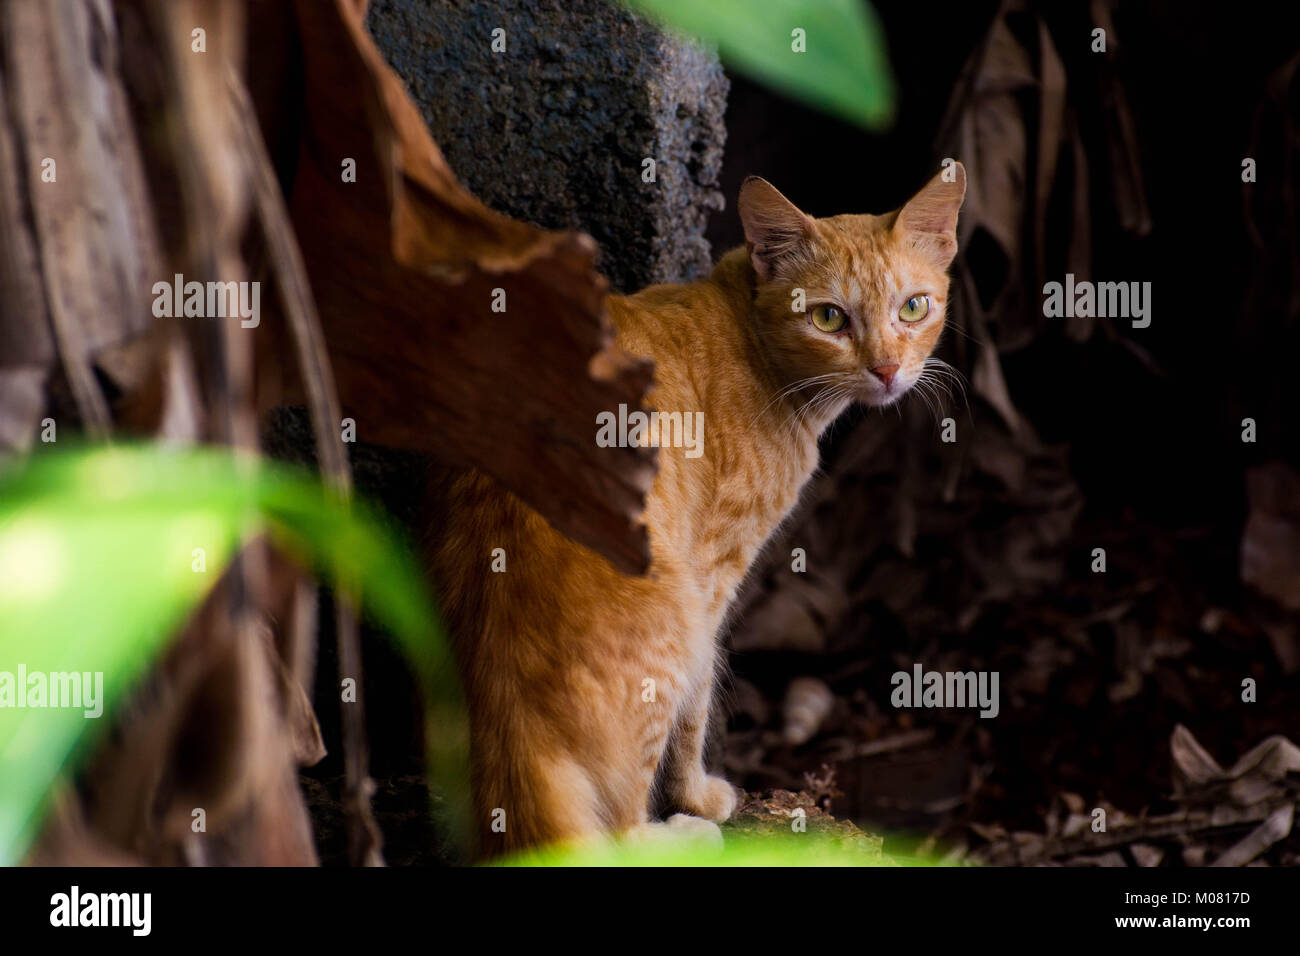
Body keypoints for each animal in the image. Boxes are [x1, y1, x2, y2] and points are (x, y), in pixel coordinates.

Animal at [431, 160, 972, 858]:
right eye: (828, 318)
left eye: (913, 307)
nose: (886, 370)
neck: (753, 340)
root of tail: (510, 712)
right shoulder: (713, 574)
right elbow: (699, 704)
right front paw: (696, 794)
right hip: (673, 624)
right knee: (620, 825)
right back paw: (679, 832)